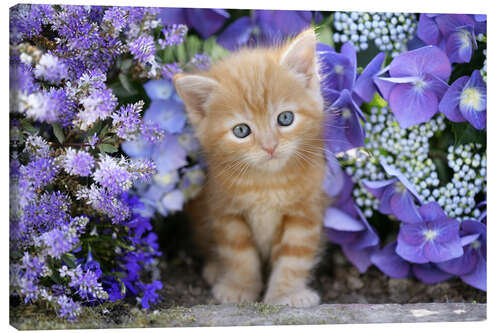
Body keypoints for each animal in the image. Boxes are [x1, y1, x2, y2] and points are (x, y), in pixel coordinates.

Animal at [173, 29, 328, 306]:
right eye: (241, 131)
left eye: (285, 118)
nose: (270, 146)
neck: (267, 183)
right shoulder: (226, 211)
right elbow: (239, 255)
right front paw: (239, 288)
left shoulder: (305, 212)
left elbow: (295, 256)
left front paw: (287, 293)